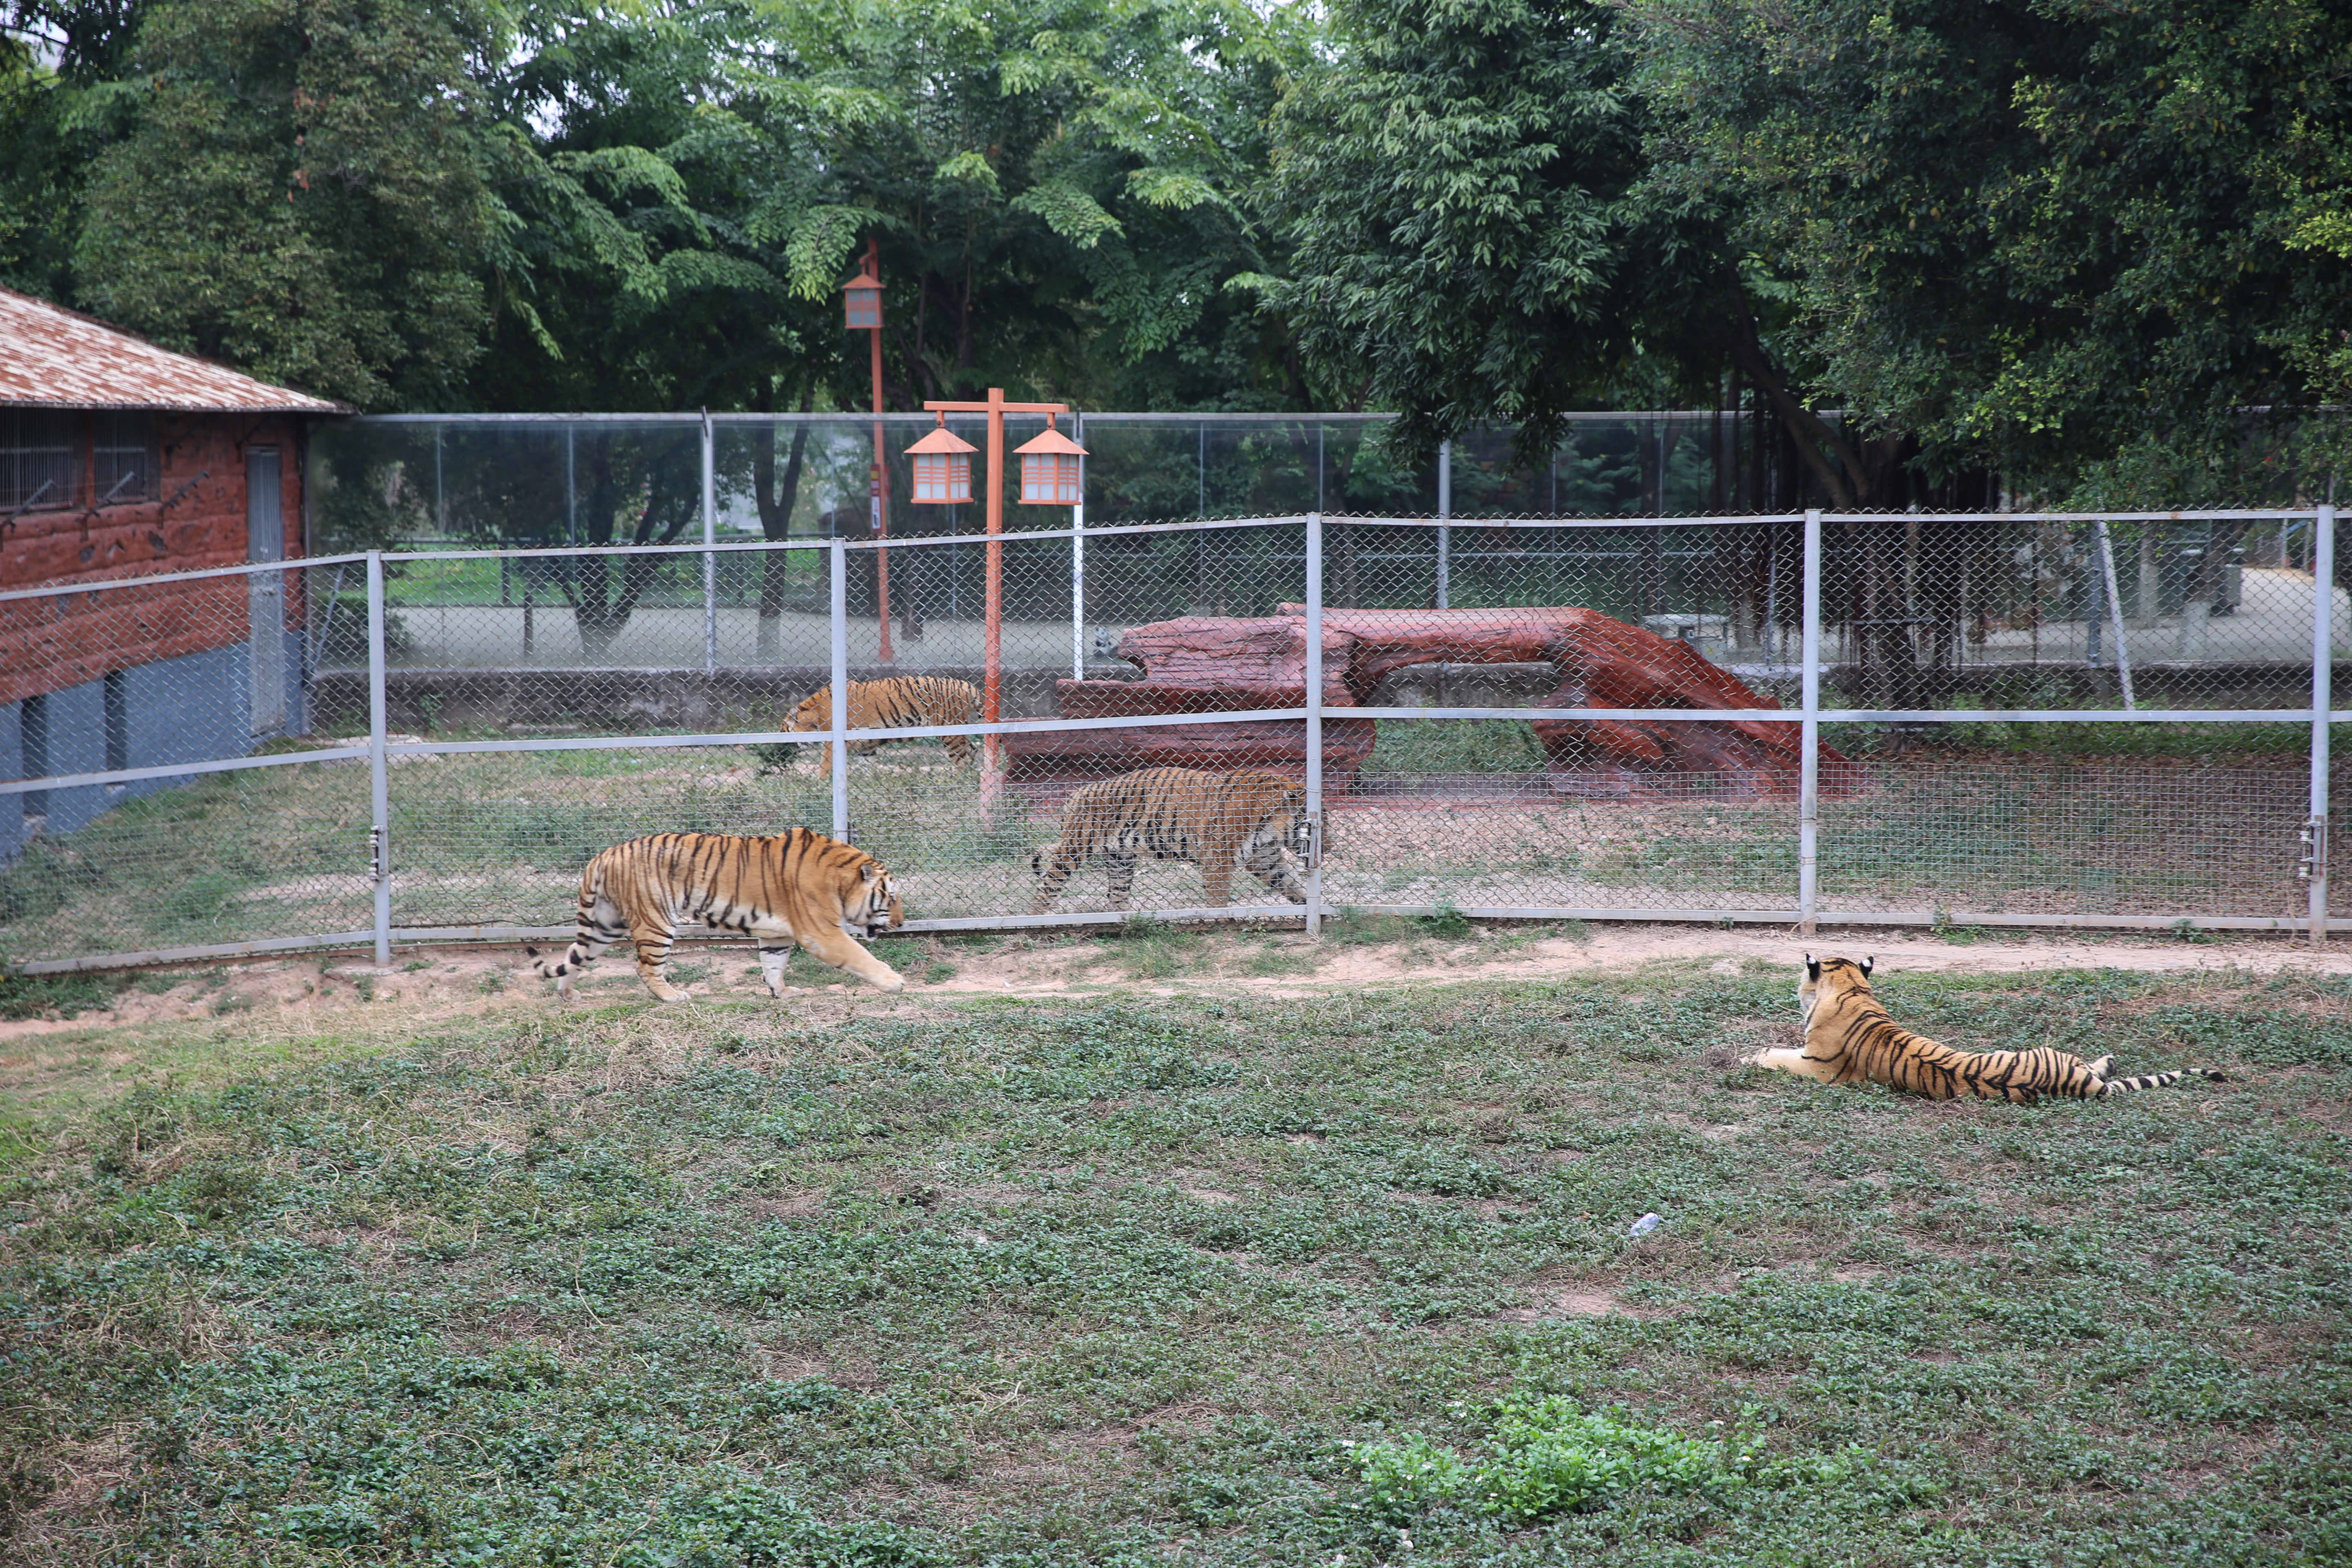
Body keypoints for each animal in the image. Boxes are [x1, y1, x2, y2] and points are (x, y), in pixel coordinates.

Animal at [529, 827, 903, 1001]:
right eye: (892, 897)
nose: (902, 923)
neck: (841, 881)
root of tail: (603, 855)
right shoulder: (822, 933)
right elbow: (860, 956)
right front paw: (894, 981)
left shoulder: (777, 934)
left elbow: (774, 965)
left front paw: (781, 992)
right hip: (655, 921)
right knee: (645, 967)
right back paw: (672, 996)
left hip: (605, 924)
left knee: (574, 955)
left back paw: (567, 994)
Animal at [785, 677, 978, 771]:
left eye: (785, 730)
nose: (788, 749)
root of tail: (967, 685)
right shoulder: (866, 745)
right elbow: (867, 766)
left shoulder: (833, 743)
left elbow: (825, 766)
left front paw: (823, 785)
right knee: (973, 751)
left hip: (951, 731)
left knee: (962, 759)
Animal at [1035, 766, 1317, 912]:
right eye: (1317, 822)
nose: (1326, 846)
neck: (1271, 830)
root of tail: (1075, 795)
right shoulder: (1218, 858)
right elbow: (1218, 898)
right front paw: (1219, 922)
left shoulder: (1265, 860)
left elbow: (1292, 885)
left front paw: (1312, 908)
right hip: (1075, 848)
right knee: (1047, 884)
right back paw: (1035, 920)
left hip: (1120, 860)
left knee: (1115, 896)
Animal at [1750, 959, 2220, 1105]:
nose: (1796, 991)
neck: (1853, 988)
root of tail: (2083, 1084)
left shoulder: (1817, 1067)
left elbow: (1775, 1055)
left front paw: (1752, 1056)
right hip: (2058, 1055)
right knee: (2099, 1067)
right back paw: (2108, 1060)